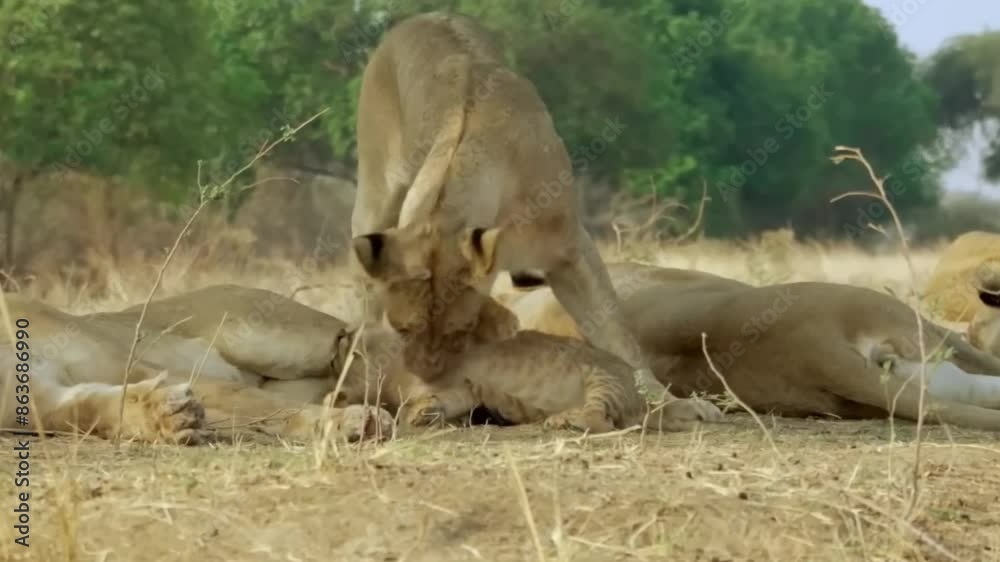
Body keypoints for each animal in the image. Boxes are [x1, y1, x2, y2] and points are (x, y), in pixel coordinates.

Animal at [0, 285, 394, 444]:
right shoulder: (42, 403)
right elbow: (92, 408)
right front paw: (166, 417)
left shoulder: (132, 362)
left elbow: (260, 402)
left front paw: (354, 421)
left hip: (273, 336)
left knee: (354, 335)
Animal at [349, 11, 672, 405]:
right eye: (402, 329)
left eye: (459, 330)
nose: (427, 375)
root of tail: (424, 15)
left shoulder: (571, 250)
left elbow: (615, 331)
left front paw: (667, 398)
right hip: (375, 198)